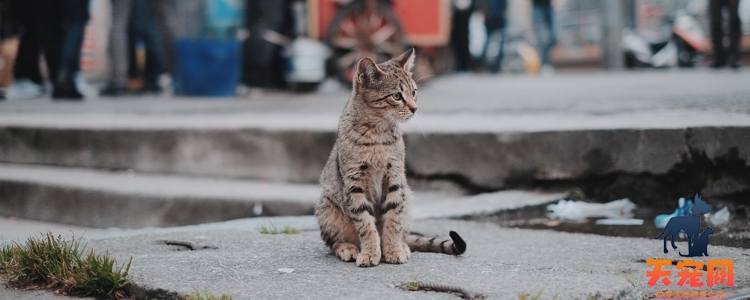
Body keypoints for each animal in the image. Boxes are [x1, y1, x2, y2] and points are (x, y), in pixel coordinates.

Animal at [314, 49, 468, 268]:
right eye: (397, 96)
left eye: (414, 92)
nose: (415, 108)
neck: (378, 134)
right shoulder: (354, 183)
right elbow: (365, 224)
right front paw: (370, 252)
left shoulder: (395, 178)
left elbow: (394, 220)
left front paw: (393, 249)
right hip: (327, 208)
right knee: (333, 241)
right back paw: (348, 248)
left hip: (407, 198)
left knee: (403, 231)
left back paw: (402, 245)